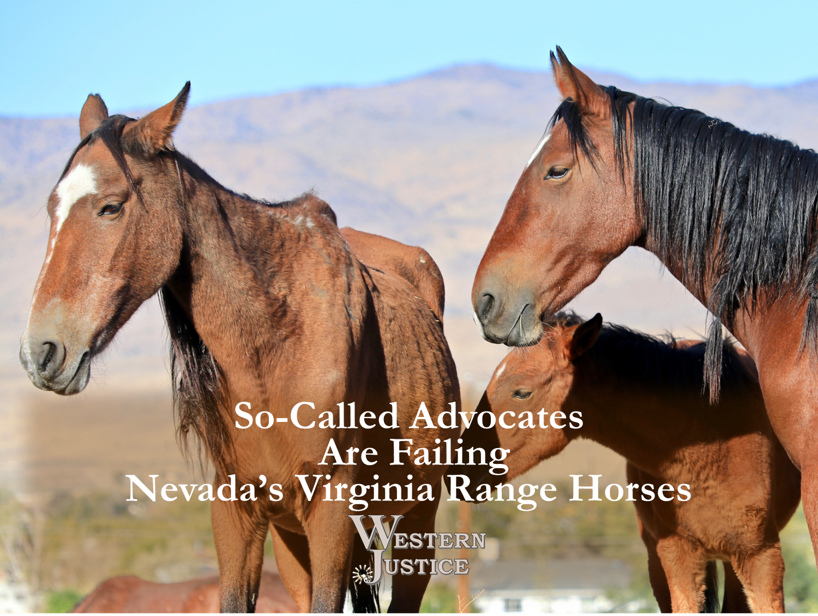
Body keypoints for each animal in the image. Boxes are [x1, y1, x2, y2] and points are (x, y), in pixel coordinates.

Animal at [19, 85, 461, 613]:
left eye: (110, 206)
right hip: (295, 540)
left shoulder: (331, 507)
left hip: (416, 520)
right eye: (51, 208)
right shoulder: (237, 510)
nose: (41, 352)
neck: (272, 342)